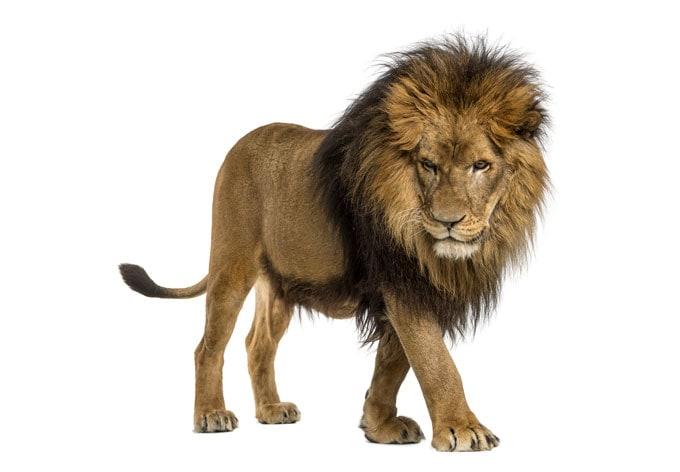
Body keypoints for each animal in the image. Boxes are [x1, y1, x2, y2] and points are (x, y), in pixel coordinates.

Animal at [120, 36, 548, 452]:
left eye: (481, 165)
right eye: (428, 165)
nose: (448, 222)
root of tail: (242, 142)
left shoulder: (409, 286)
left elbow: (393, 363)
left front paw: (378, 425)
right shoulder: (401, 281)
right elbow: (434, 361)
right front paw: (463, 429)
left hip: (280, 286)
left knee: (258, 344)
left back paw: (271, 410)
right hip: (231, 262)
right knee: (208, 347)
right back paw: (210, 414)